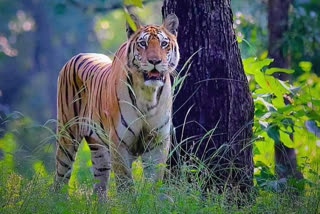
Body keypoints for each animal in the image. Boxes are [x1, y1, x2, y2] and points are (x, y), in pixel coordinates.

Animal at [54, 13, 180, 199]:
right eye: (143, 43)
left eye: (164, 44)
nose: (155, 61)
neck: (148, 93)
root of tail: (75, 56)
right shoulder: (119, 142)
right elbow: (125, 182)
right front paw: (130, 202)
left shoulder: (158, 141)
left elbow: (153, 181)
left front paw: (150, 200)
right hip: (67, 136)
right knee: (60, 176)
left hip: (99, 150)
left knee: (99, 187)